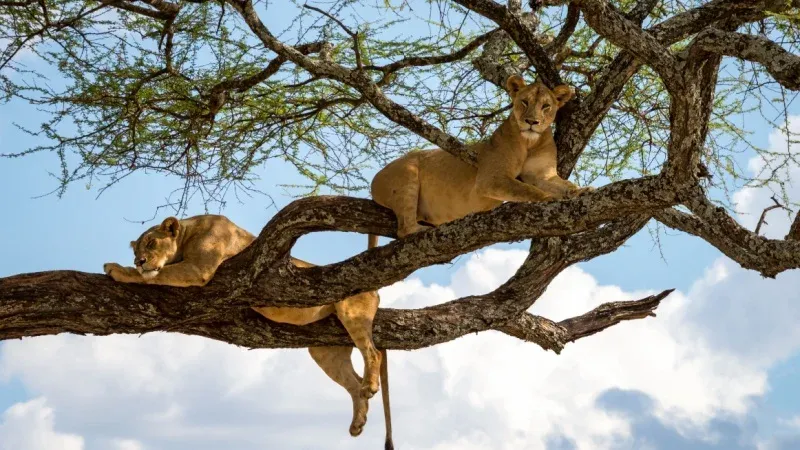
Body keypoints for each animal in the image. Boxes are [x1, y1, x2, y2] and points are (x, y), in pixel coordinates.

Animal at [103, 215, 393, 449]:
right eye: (137, 248)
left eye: (151, 243)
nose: (139, 260)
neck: (187, 233)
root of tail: (376, 290)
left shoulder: (198, 269)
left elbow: (155, 276)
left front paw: (118, 270)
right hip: (325, 351)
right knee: (352, 382)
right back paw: (358, 421)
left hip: (351, 313)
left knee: (373, 353)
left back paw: (369, 387)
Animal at [371, 74, 592, 238]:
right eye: (524, 102)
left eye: (546, 106)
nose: (532, 122)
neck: (530, 142)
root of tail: (375, 178)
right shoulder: (490, 178)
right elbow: (527, 189)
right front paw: (548, 199)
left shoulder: (542, 174)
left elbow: (564, 185)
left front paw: (582, 190)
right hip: (406, 176)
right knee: (404, 229)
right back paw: (421, 229)